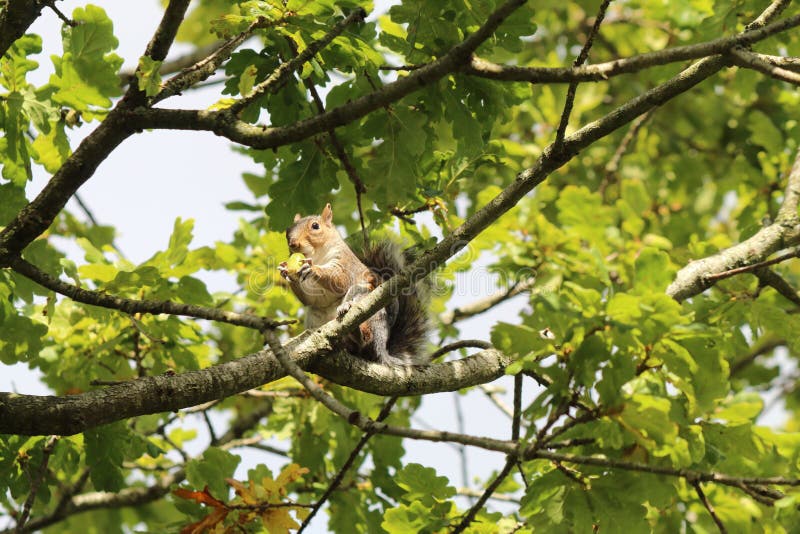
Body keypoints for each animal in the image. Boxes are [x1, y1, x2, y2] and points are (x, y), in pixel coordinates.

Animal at [278, 203, 430, 365]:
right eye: (287, 231)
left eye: (315, 226)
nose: (293, 243)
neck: (317, 255)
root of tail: (381, 349)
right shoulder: (314, 294)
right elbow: (311, 299)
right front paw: (285, 271)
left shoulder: (345, 264)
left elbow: (340, 279)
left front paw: (313, 268)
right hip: (314, 315)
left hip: (369, 308)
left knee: (364, 339)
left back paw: (354, 325)